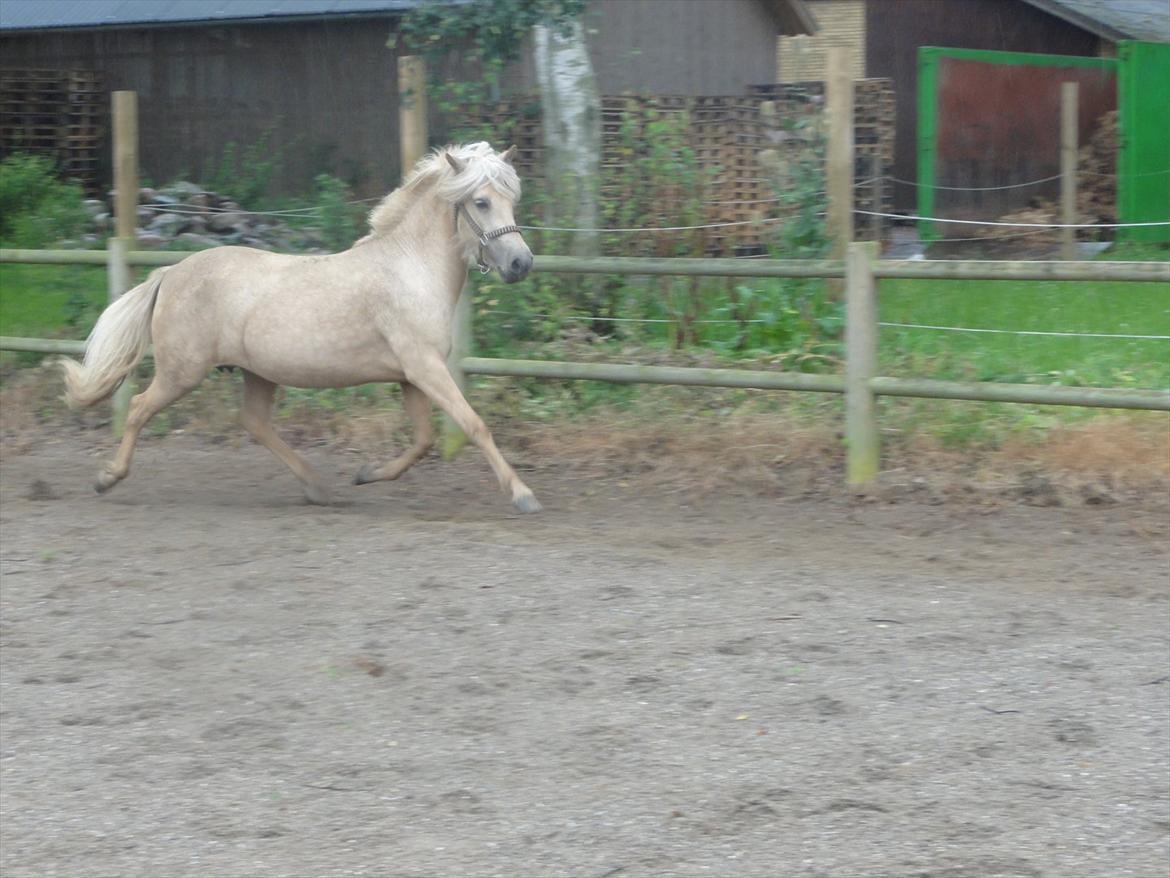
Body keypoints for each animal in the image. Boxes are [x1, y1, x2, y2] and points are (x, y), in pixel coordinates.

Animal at [59, 143, 542, 512]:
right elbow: (474, 424)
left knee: (254, 424)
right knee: (140, 407)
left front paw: (366, 474)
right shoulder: (424, 368)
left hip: (257, 372)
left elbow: (423, 440)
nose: (522, 264)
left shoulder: (412, 376)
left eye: (511, 200)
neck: (410, 269)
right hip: (183, 372)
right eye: (481, 202)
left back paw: (318, 487)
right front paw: (523, 495)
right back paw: (107, 477)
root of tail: (170, 273)